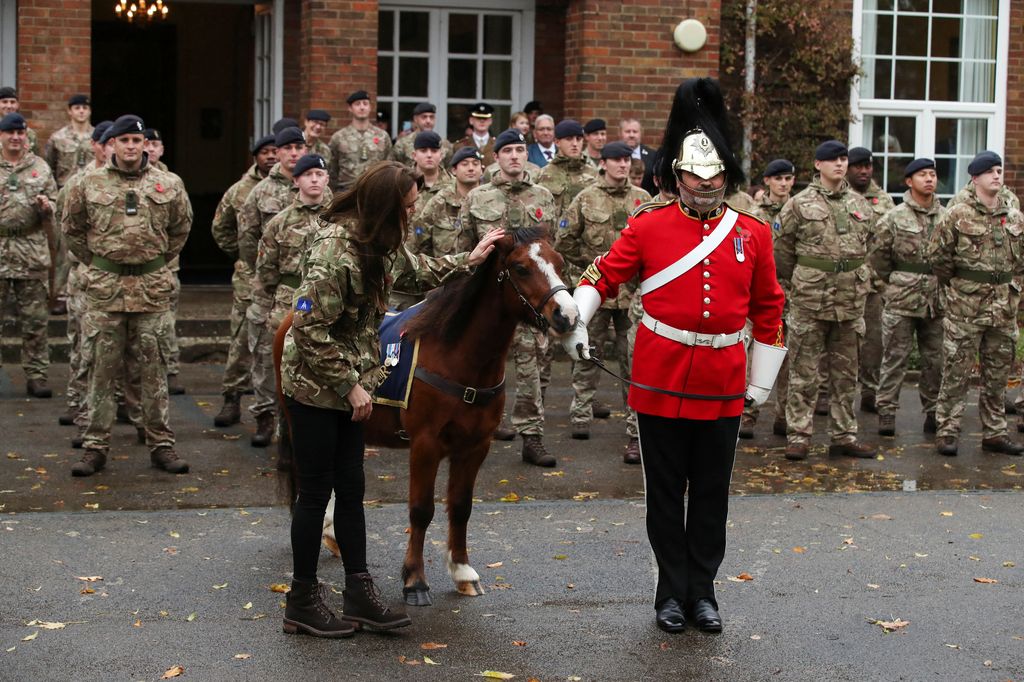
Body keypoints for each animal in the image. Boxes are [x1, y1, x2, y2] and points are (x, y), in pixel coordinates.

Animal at [272, 228, 577, 606]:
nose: (567, 315)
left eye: (559, 262)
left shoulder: (476, 446)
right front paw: (415, 580)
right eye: (520, 268)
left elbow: (460, 506)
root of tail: (290, 319)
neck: (459, 357)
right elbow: (421, 510)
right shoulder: (425, 444)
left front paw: (462, 571)